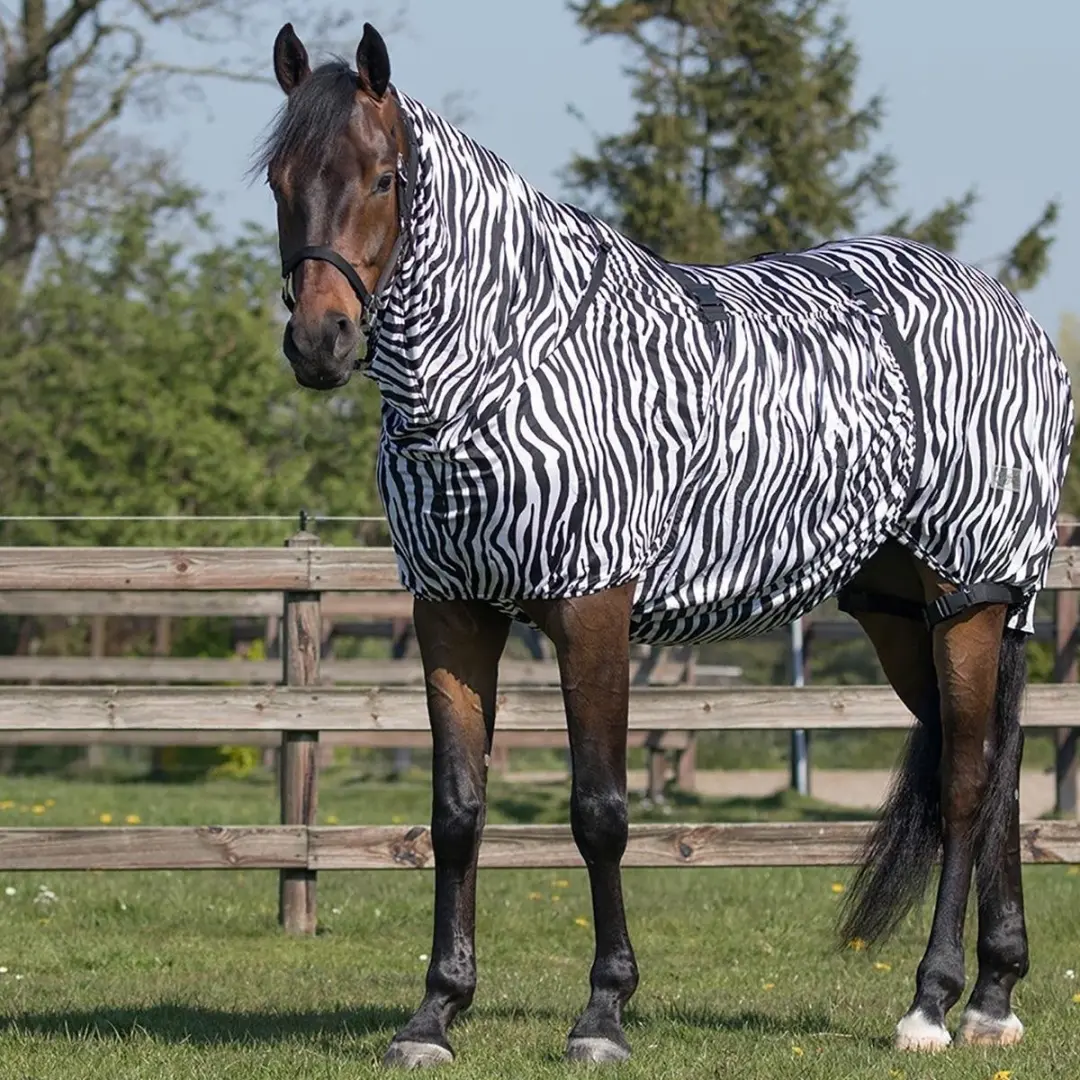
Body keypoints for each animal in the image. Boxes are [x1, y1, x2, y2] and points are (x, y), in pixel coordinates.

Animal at [256, 21, 1074, 1068]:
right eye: (278, 178)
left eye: (385, 177)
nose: (320, 342)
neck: (510, 362)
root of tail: (1015, 318)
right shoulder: (451, 609)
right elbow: (457, 813)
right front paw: (435, 1015)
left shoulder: (591, 607)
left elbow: (600, 813)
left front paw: (603, 1013)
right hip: (901, 612)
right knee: (999, 777)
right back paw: (994, 998)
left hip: (968, 595)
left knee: (970, 785)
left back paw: (932, 1005)